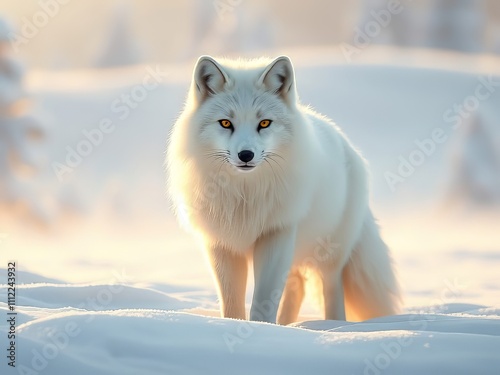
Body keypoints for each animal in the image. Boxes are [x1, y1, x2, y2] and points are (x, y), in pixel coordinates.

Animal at [166, 56, 400, 326]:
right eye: (225, 123)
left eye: (264, 123)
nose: (246, 155)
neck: (245, 196)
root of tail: (346, 143)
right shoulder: (222, 243)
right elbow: (232, 303)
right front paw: (240, 325)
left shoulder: (276, 232)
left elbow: (263, 300)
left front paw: (261, 329)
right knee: (296, 285)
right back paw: (287, 325)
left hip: (329, 254)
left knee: (330, 286)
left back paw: (333, 325)